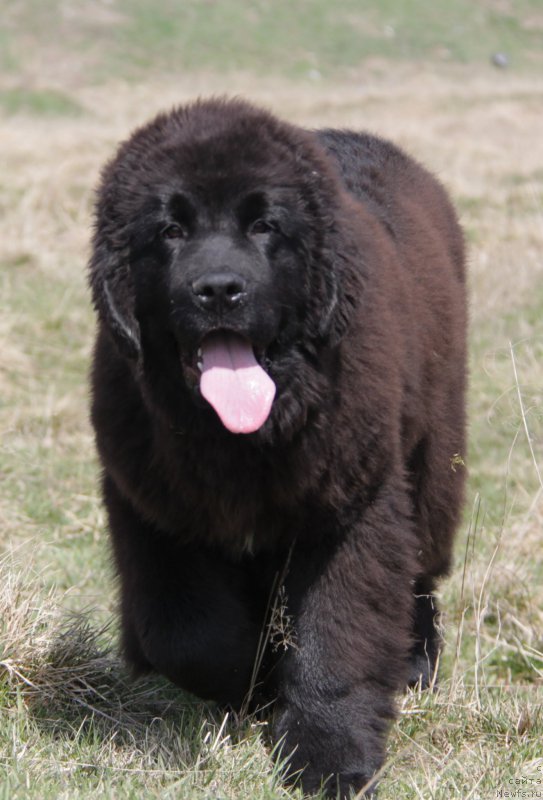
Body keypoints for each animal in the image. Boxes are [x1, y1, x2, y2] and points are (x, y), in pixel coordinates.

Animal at [89, 97, 468, 796]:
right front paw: (252, 681)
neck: (238, 438)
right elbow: (186, 634)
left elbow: (334, 634)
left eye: (265, 225)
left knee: (422, 566)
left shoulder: (353, 504)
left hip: (433, 454)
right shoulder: (149, 503)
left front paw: (330, 757)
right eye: (170, 230)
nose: (218, 289)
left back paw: (415, 661)